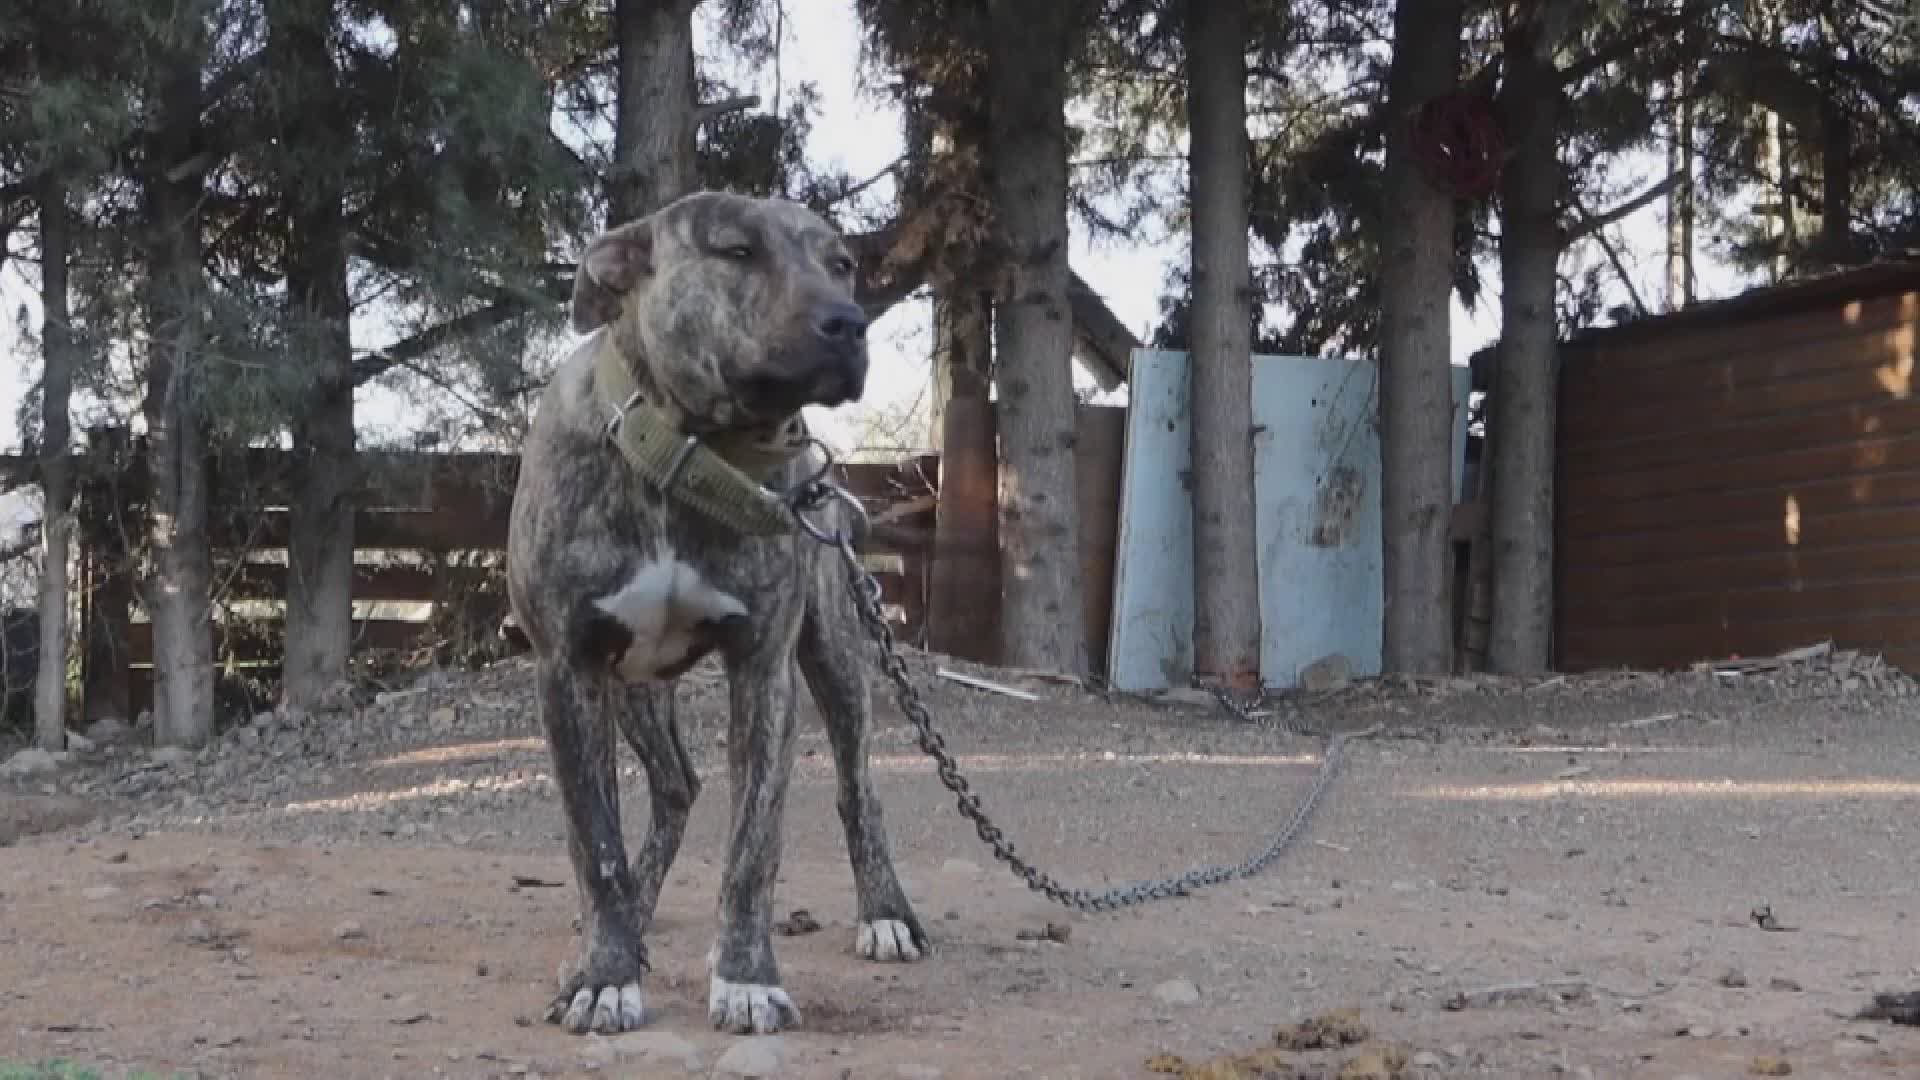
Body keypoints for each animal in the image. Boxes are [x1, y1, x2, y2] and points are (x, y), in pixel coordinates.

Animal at [510, 191, 929, 1037]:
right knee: (674, 788)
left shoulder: (763, 671)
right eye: (736, 251)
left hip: (836, 658)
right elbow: (594, 843)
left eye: (843, 263)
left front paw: (745, 979)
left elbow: (752, 847)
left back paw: (886, 912)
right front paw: (604, 974)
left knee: (857, 787)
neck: (687, 453)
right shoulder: (568, 670)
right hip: (634, 690)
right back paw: (633, 915)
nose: (849, 322)